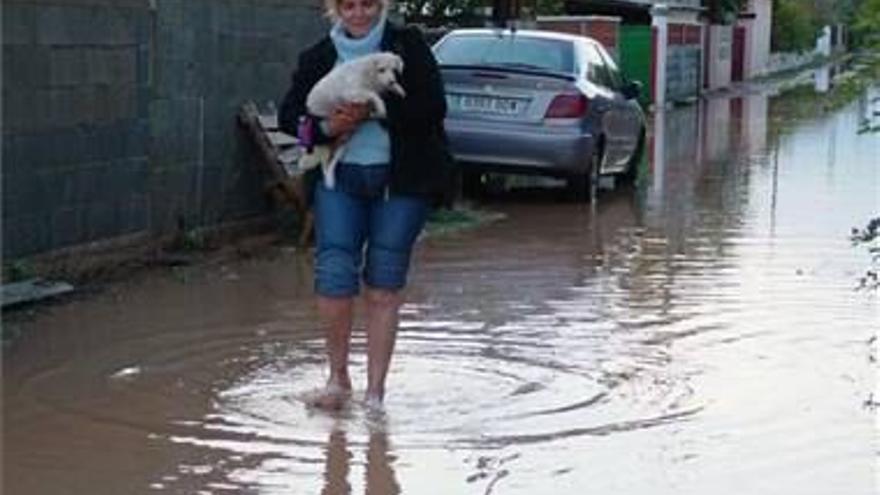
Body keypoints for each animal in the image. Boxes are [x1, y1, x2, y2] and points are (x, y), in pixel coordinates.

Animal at [298, 51, 404, 188]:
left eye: (394, 70)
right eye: (381, 69)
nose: (391, 81)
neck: (368, 74)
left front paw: (398, 89)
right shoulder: (351, 94)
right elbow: (373, 94)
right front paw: (381, 106)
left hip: (343, 144)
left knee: (330, 163)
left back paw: (330, 180)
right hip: (321, 143)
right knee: (323, 163)